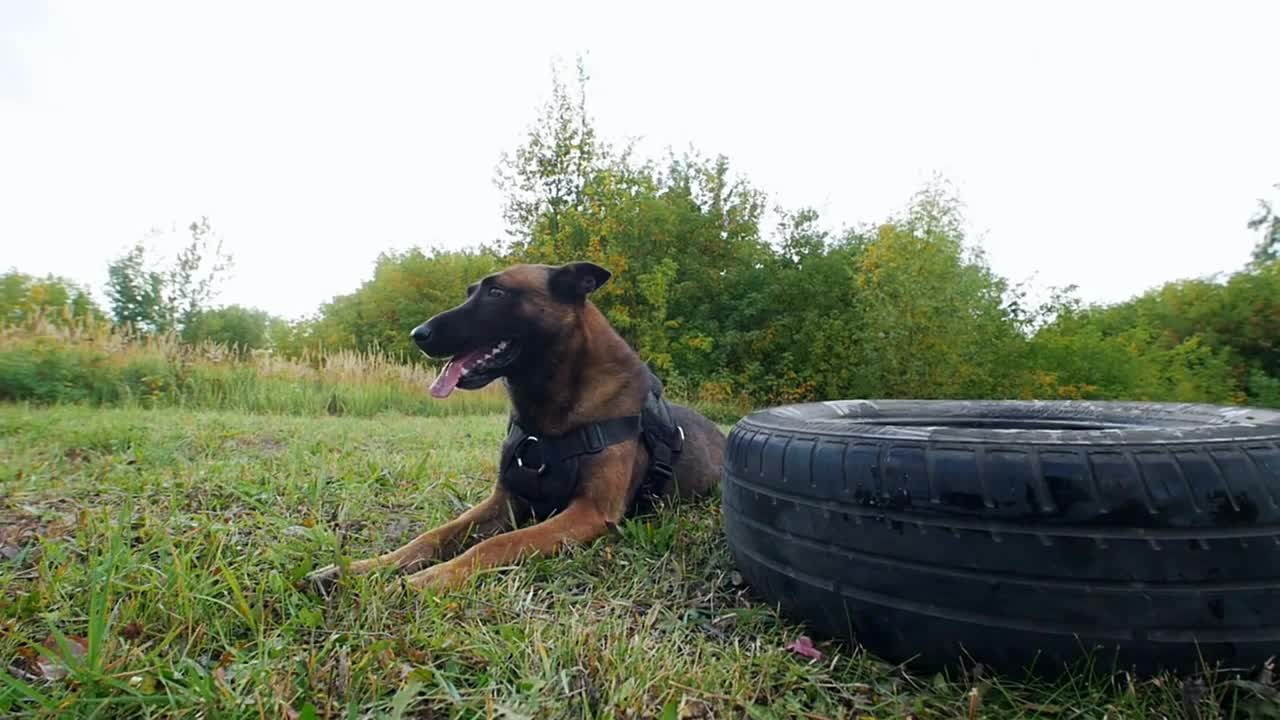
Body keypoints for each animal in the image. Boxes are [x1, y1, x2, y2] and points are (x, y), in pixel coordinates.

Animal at [308, 260, 727, 591]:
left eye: (496, 292)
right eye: (471, 292)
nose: (418, 334)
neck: (549, 416)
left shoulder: (589, 512)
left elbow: (495, 545)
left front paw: (430, 579)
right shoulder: (505, 500)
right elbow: (433, 535)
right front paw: (360, 568)